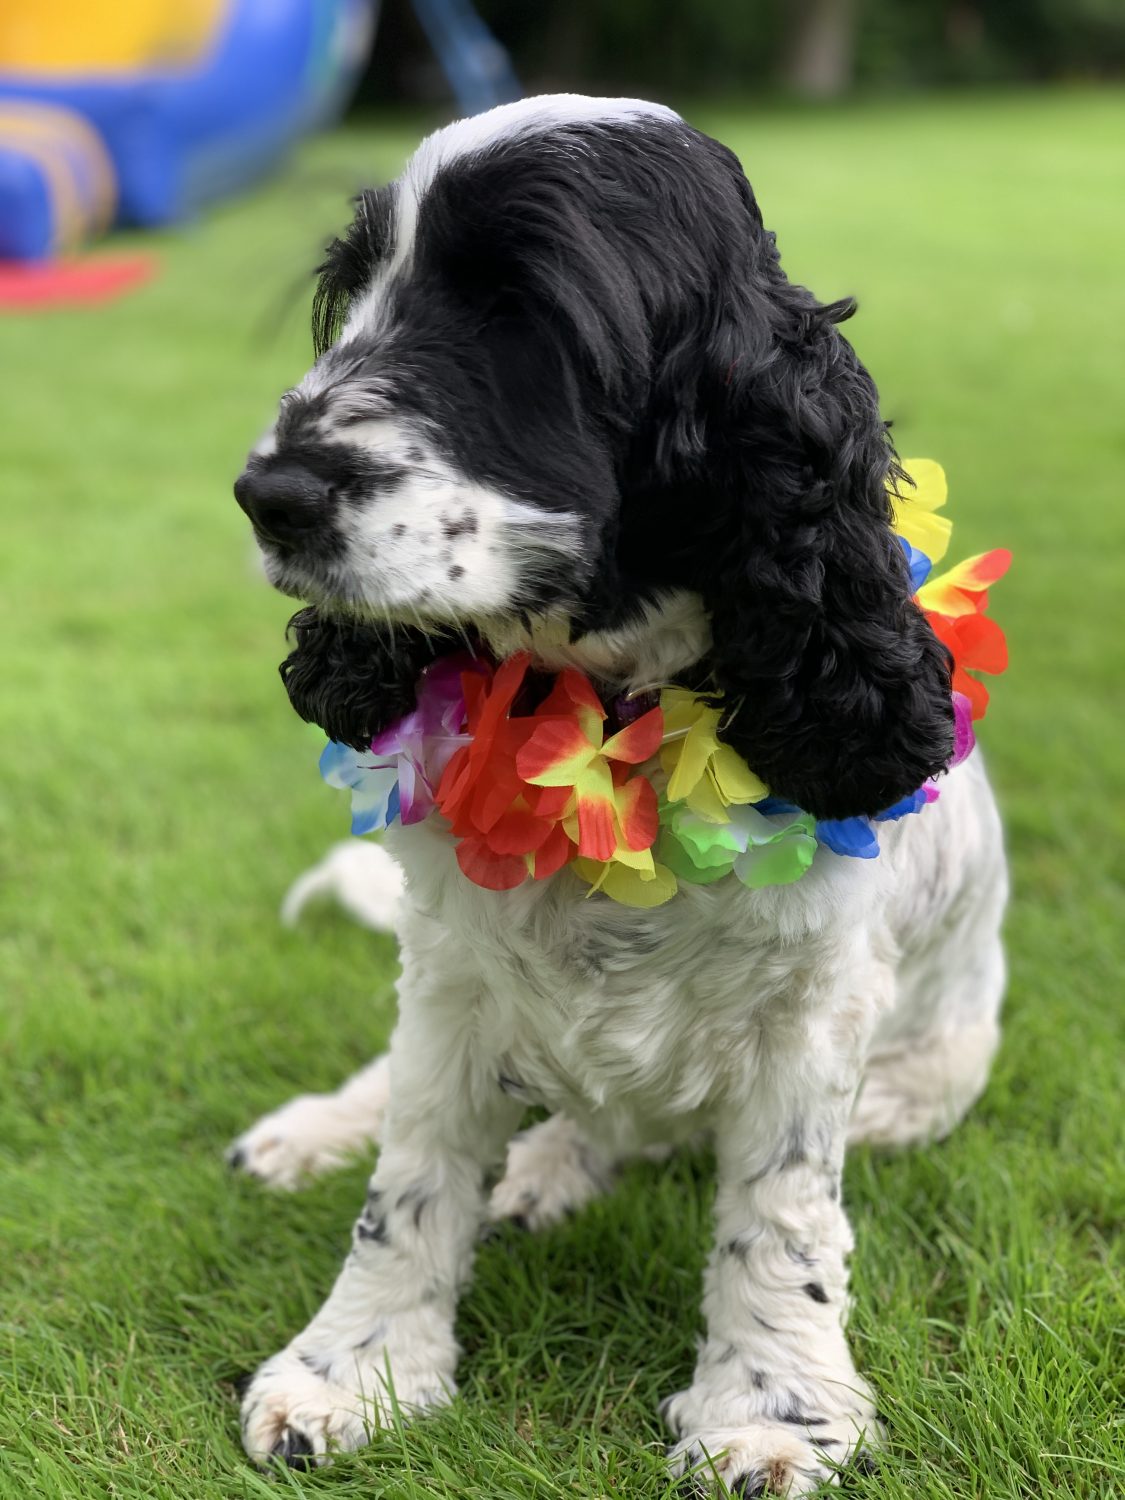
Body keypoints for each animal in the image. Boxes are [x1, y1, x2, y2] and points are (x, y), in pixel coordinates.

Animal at [229, 95, 1007, 1493]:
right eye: (355, 292)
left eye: (523, 312)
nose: (269, 494)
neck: (600, 719)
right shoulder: (454, 976)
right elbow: (410, 1174)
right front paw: (354, 1369)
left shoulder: (813, 1014)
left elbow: (780, 1214)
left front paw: (770, 1406)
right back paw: (331, 1132)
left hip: (930, 1072)